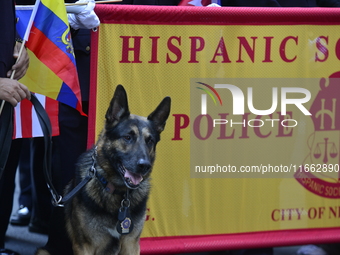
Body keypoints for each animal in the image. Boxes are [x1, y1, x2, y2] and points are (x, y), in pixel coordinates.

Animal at [63, 85, 170, 255]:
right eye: (127, 137)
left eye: (150, 141)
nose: (144, 166)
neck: (118, 193)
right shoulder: (84, 246)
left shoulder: (131, 244)